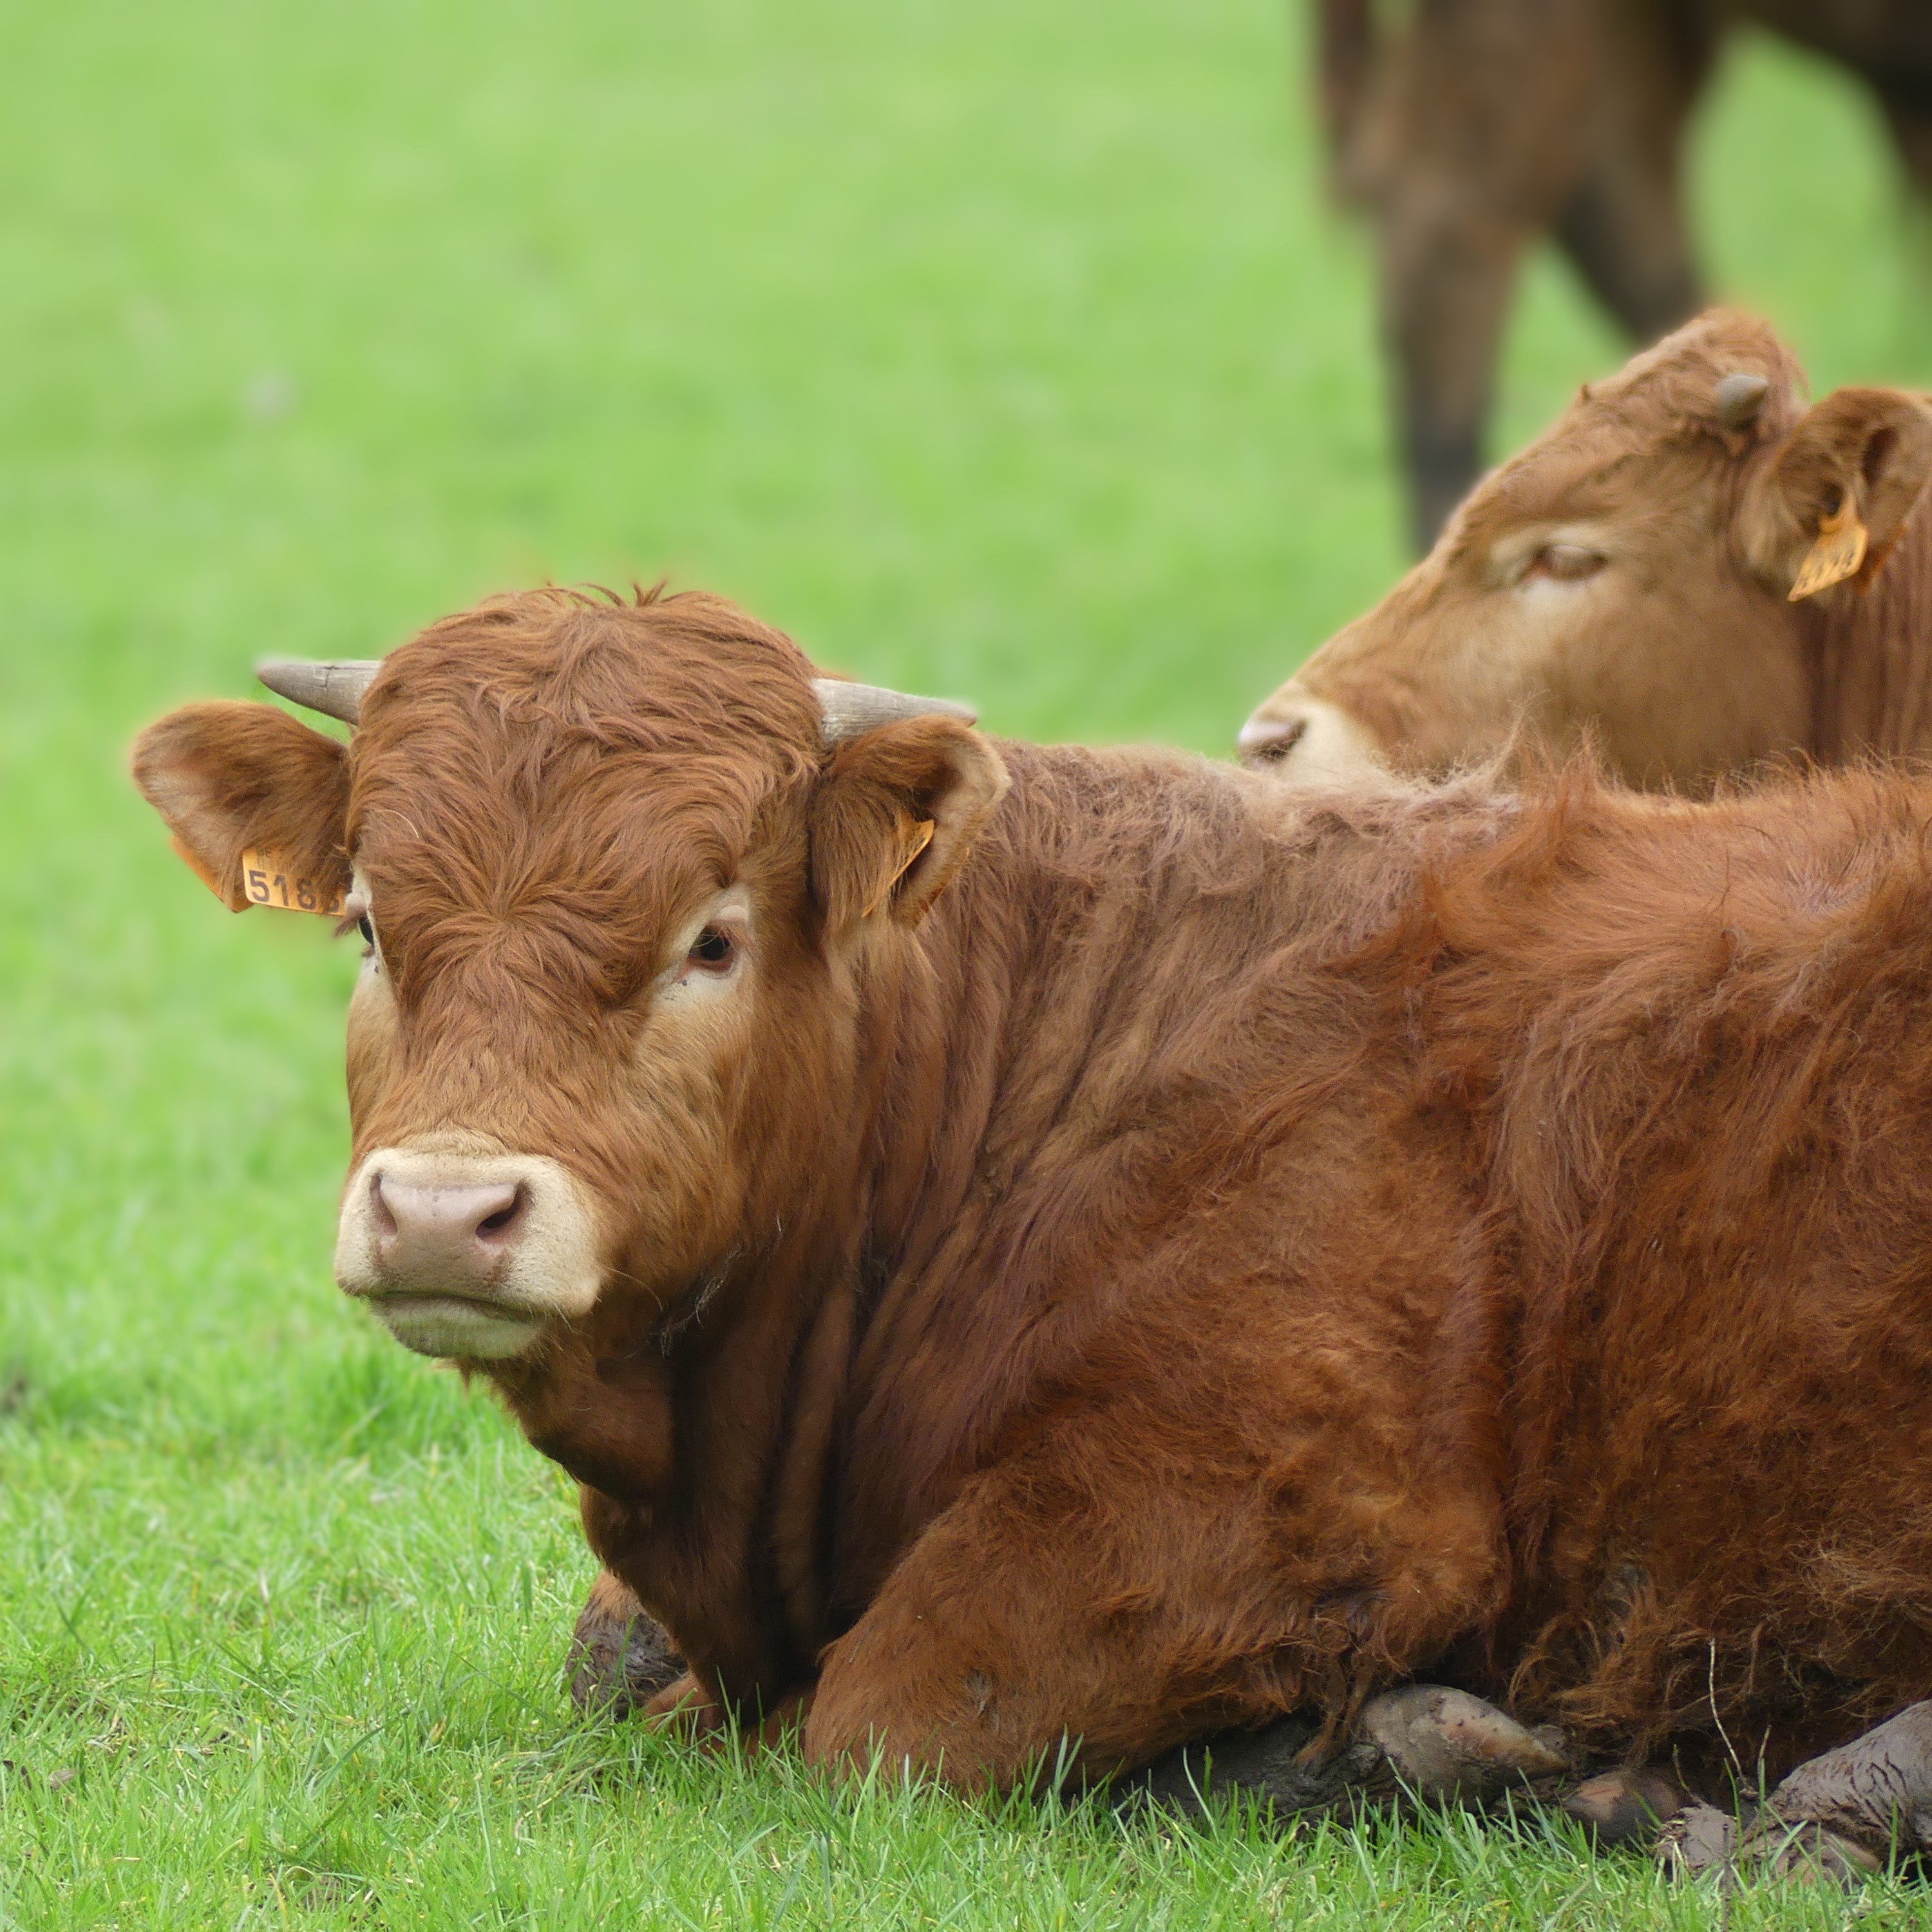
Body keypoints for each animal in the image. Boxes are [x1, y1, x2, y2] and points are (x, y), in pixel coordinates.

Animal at [134, 586, 1932, 1877]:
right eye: (370, 923)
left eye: (712, 937)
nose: (446, 1209)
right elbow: (613, 1666)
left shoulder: (1240, 1503)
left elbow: (881, 1720)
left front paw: (1370, 1753)